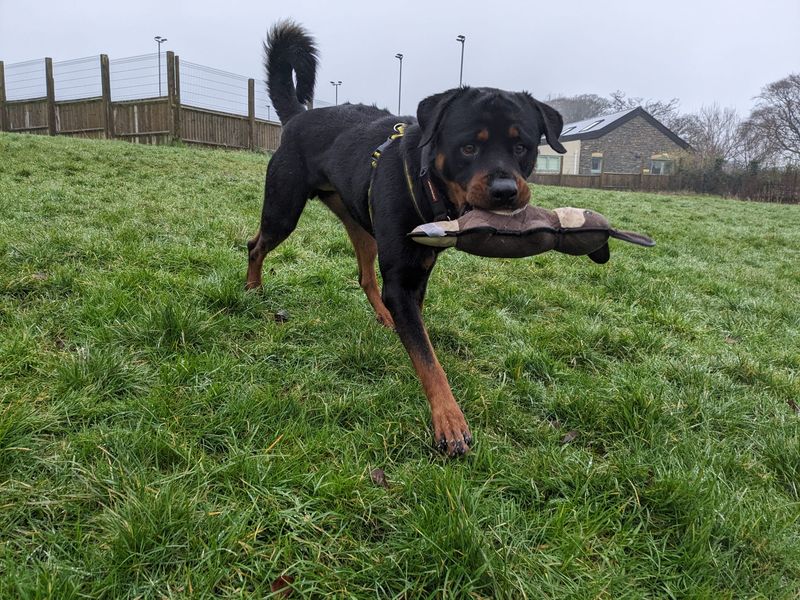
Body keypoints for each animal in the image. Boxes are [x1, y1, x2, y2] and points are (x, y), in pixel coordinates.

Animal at [247, 21, 564, 458]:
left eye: (522, 147)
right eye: (468, 147)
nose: (505, 191)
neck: (430, 184)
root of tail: (298, 117)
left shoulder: (419, 274)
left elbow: (420, 338)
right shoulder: (401, 279)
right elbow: (428, 360)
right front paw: (450, 422)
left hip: (363, 226)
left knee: (364, 275)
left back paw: (383, 315)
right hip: (284, 210)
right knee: (255, 244)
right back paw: (252, 288)